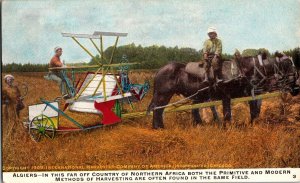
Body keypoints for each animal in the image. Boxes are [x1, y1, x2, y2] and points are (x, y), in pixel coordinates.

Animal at [147, 50, 298, 129]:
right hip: (163, 95)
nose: (296, 86)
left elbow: (254, 111)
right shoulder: (228, 96)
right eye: (287, 63)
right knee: (157, 109)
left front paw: (252, 124)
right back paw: (158, 128)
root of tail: (159, 71)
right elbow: (228, 114)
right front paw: (228, 127)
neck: (244, 70)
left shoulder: (250, 94)